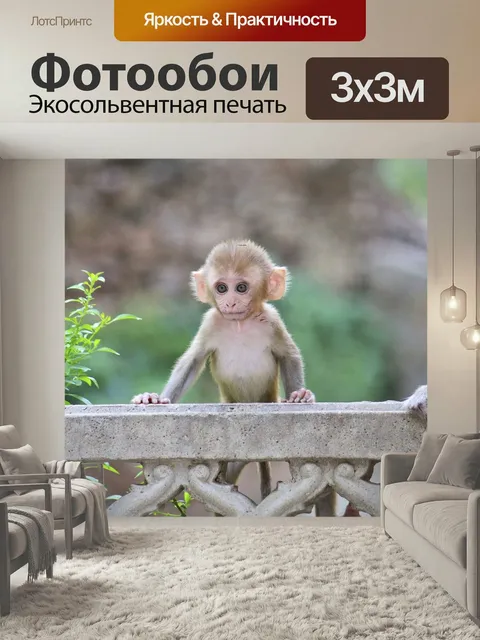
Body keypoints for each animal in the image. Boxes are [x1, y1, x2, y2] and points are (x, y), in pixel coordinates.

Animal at [132, 239, 315, 500]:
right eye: (221, 288)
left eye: (241, 287)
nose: (230, 302)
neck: (239, 324)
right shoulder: (210, 322)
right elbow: (192, 361)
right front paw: (154, 399)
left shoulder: (273, 320)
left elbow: (289, 355)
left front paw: (299, 396)